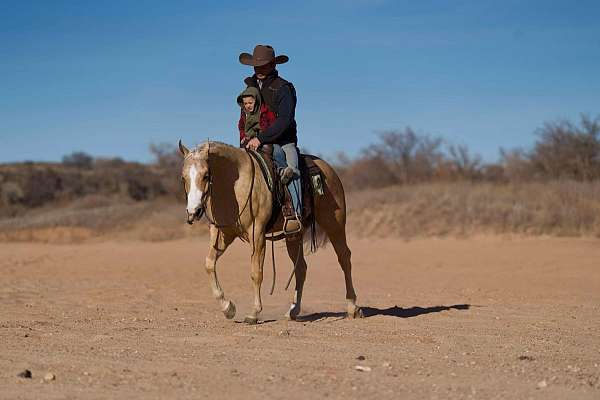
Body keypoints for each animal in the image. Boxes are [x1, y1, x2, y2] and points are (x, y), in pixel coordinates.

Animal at [176, 141, 358, 324]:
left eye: (206, 175)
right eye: (183, 178)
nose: (194, 211)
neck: (235, 185)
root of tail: (328, 169)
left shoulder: (257, 234)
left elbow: (256, 272)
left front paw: (254, 313)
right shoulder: (223, 234)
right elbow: (209, 264)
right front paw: (228, 308)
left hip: (334, 225)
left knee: (344, 258)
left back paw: (353, 307)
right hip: (293, 236)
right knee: (301, 268)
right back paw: (293, 310)